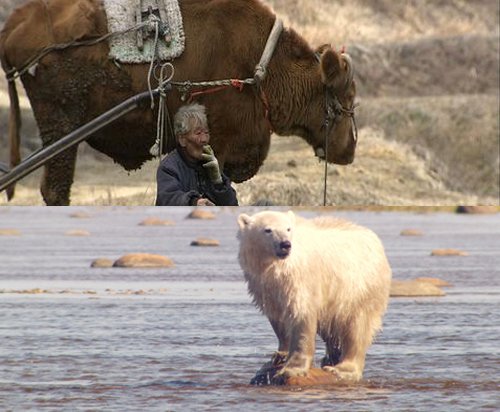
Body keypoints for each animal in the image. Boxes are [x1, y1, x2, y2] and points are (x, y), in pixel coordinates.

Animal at [236, 211, 392, 384]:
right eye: (267, 230)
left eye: (288, 229)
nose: (285, 244)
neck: (276, 267)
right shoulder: (265, 287)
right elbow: (278, 319)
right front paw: (278, 357)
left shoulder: (300, 279)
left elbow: (301, 316)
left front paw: (291, 370)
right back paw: (330, 358)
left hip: (359, 287)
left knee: (357, 328)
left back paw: (341, 368)